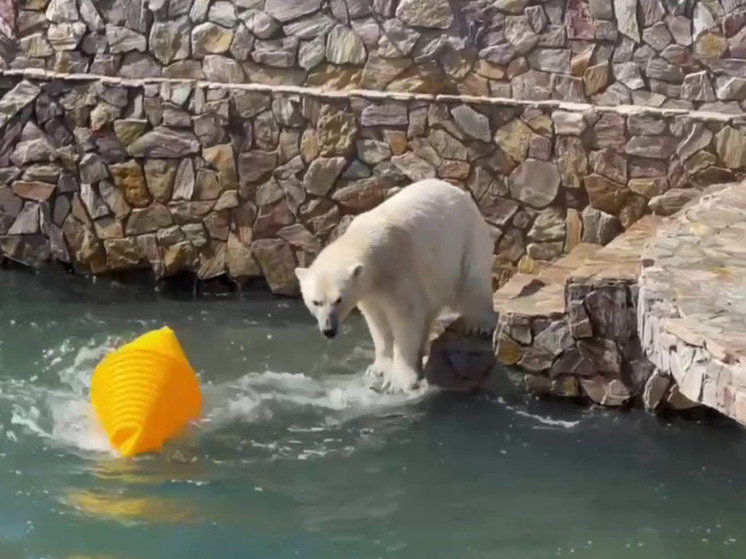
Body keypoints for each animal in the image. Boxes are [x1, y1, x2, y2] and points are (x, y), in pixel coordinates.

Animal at [294, 179, 496, 394]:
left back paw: (481, 325)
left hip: (465, 240)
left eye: (338, 300)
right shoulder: (370, 291)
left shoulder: (397, 268)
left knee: (473, 281)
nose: (329, 330)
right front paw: (378, 369)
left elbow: (405, 317)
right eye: (316, 302)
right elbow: (378, 323)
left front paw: (400, 380)